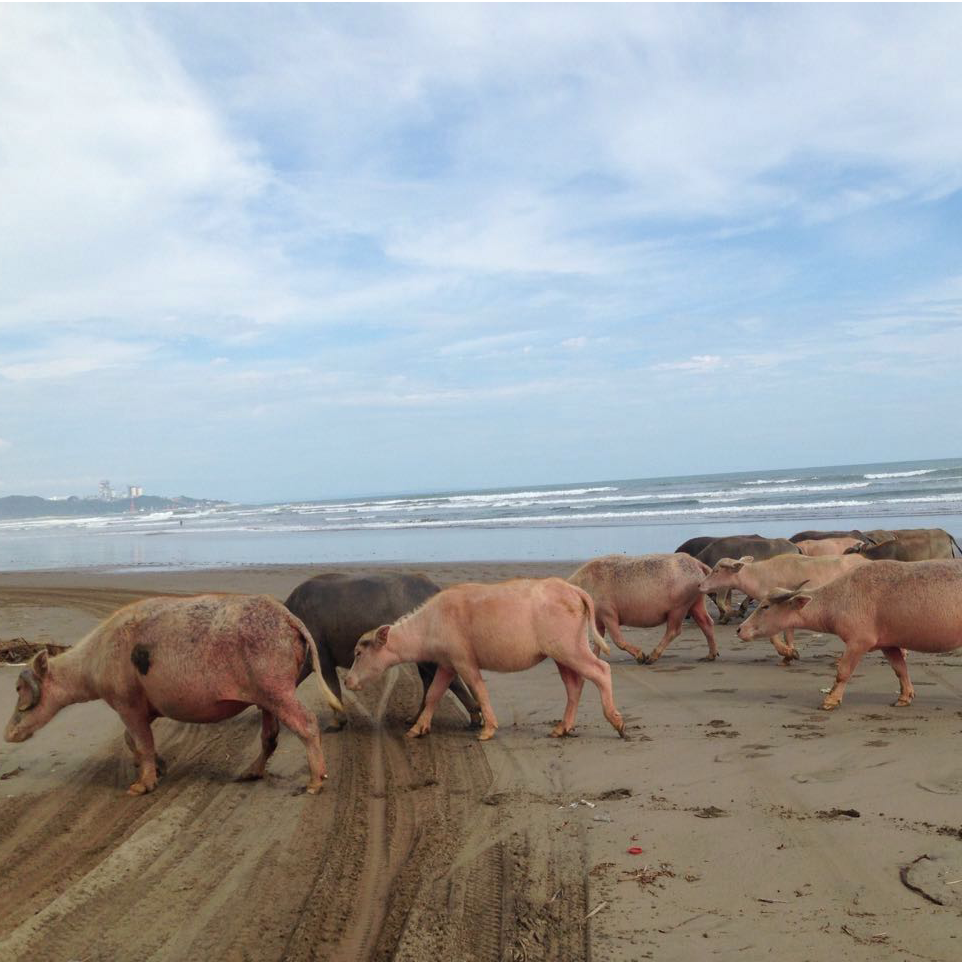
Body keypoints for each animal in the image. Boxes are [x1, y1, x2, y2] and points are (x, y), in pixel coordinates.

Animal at [4, 594, 344, 796]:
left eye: (20, 691)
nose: (7, 734)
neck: (94, 663)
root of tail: (290, 620)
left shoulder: (126, 701)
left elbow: (141, 741)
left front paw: (139, 787)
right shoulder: (145, 706)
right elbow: (133, 740)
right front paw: (161, 766)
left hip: (276, 685)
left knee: (306, 722)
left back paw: (314, 784)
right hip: (266, 695)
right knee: (270, 736)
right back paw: (248, 774)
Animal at [344, 578, 626, 742]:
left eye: (358, 653)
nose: (347, 680)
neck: (431, 623)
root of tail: (573, 589)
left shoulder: (464, 662)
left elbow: (479, 690)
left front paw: (488, 728)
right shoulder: (447, 664)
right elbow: (434, 693)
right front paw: (418, 728)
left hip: (569, 648)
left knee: (601, 671)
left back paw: (616, 721)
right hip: (561, 654)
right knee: (574, 687)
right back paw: (563, 727)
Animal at [568, 553, 716, 664]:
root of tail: (697, 563)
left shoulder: (608, 612)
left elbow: (617, 639)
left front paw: (641, 657)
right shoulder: (598, 618)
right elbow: (598, 639)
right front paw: (594, 659)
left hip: (680, 605)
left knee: (674, 630)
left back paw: (650, 659)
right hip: (696, 600)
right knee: (706, 622)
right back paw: (709, 657)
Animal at [700, 553, 871, 663]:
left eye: (716, 571)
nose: (700, 585)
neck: (761, 576)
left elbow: (773, 637)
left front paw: (787, 652)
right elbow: (788, 636)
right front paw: (790, 653)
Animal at [736, 560, 962, 710]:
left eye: (765, 606)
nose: (739, 629)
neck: (841, 598)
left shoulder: (858, 642)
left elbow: (843, 671)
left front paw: (831, 699)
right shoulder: (888, 644)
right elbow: (900, 669)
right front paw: (905, 696)